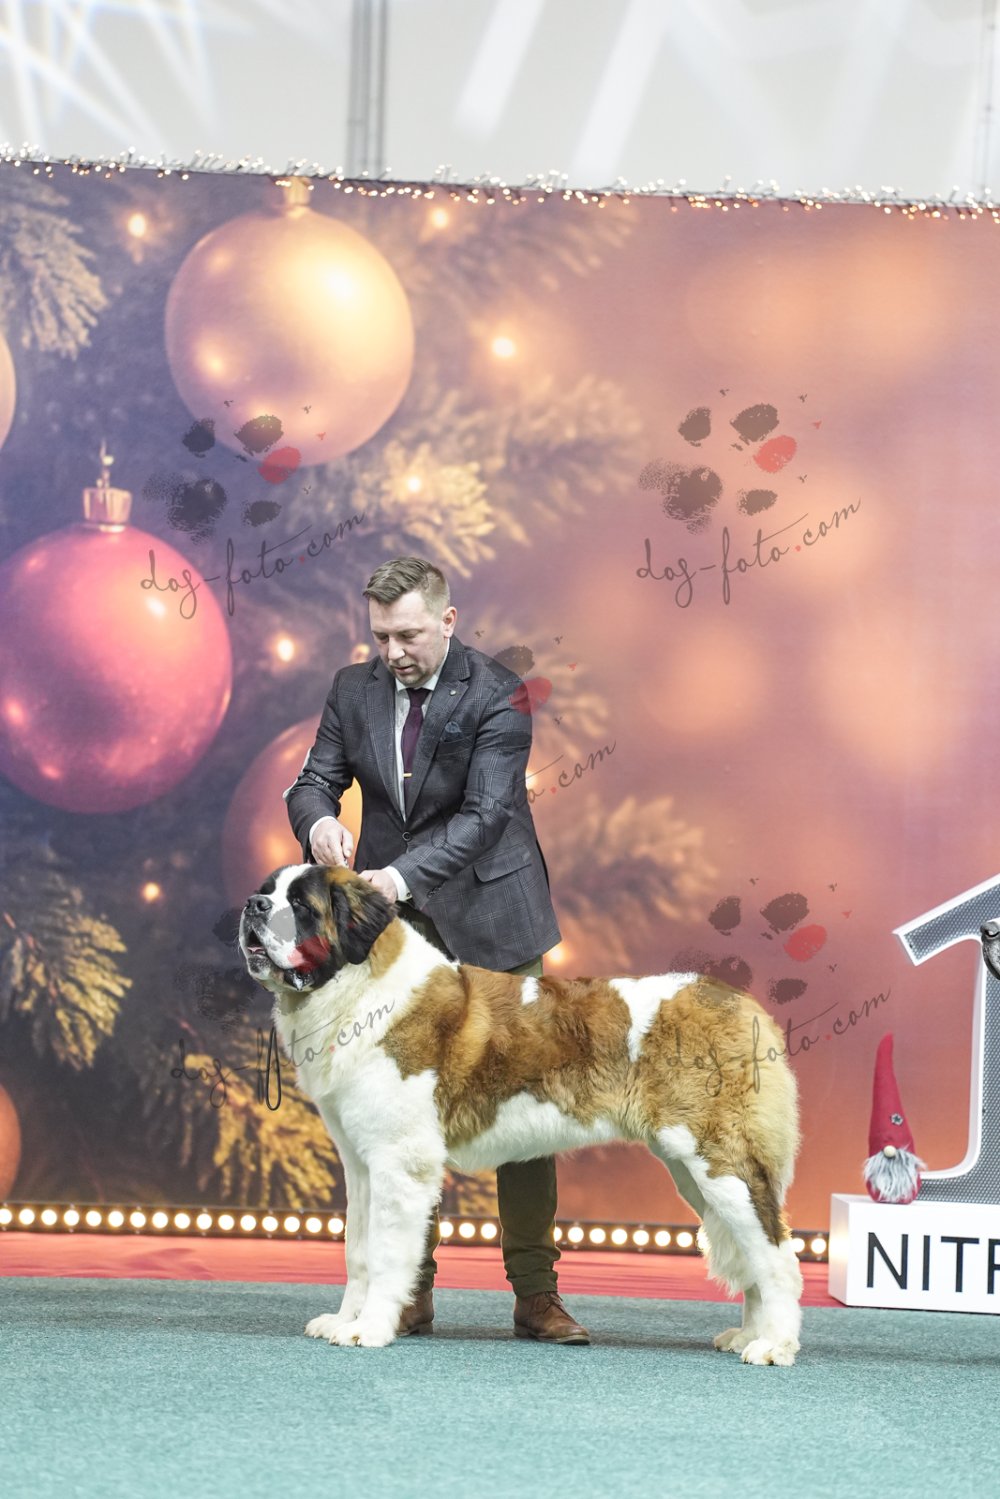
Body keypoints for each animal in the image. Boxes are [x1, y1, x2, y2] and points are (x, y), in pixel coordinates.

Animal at [240, 863, 803, 1364]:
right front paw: (344, 1320)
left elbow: (385, 1252)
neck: (359, 989)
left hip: (718, 1162)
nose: (253, 904)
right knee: (754, 1250)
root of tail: (737, 1001)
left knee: (775, 1253)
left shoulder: (401, 1161)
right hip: (692, 1169)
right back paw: (749, 1334)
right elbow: (356, 1248)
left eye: (301, 906)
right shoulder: (361, 1164)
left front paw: (370, 1329)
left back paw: (774, 1345)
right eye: (270, 890)